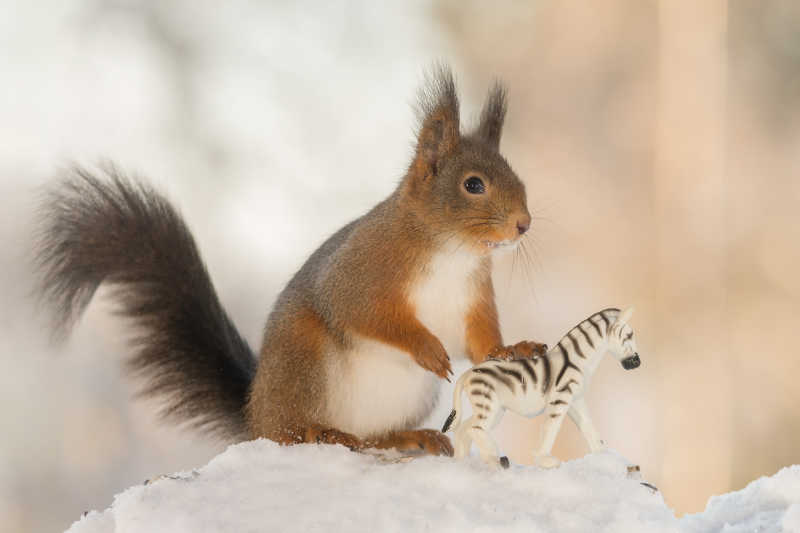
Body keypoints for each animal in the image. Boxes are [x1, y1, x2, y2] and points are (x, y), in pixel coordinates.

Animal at [32, 65, 544, 458]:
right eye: (473, 185)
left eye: (517, 175)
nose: (524, 224)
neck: (452, 251)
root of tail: (255, 413)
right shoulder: (361, 271)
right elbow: (367, 314)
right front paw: (426, 347)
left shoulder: (470, 299)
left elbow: (479, 342)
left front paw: (510, 349)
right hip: (304, 358)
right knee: (290, 433)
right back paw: (321, 432)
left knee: (370, 438)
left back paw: (404, 437)